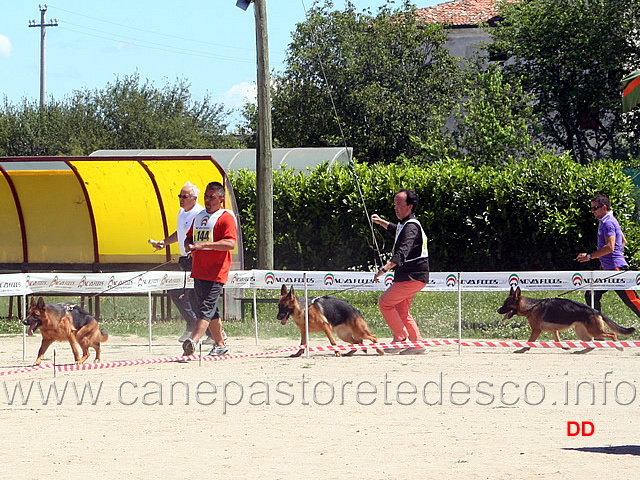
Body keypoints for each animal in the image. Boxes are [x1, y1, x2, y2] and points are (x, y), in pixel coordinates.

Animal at [498, 286, 632, 354]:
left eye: (506, 304)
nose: (498, 311)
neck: (531, 306)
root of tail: (596, 311)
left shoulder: (536, 330)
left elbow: (529, 342)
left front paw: (522, 349)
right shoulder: (554, 330)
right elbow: (558, 340)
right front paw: (565, 347)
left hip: (595, 331)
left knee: (612, 334)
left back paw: (619, 347)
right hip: (581, 331)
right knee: (591, 342)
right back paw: (583, 351)